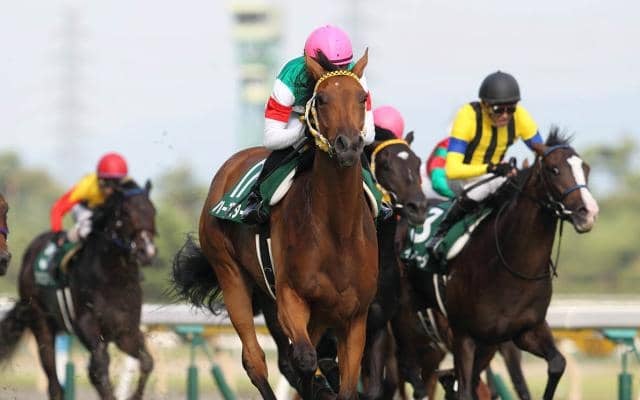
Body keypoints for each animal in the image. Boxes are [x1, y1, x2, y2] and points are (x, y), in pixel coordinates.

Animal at [0, 179, 157, 400]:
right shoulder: (86, 324)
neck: (114, 279)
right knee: (54, 381)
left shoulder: (125, 331)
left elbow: (146, 361)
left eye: (153, 211)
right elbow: (99, 369)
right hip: (41, 321)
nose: (147, 251)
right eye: (126, 213)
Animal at [171, 51, 378, 400]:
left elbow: (343, 383)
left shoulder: (354, 316)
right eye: (322, 99)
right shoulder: (291, 298)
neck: (338, 231)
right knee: (255, 361)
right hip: (232, 275)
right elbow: (304, 360)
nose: (348, 145)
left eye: (362, 98)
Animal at [410, 129, 599, 399]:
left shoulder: (523, 332)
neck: (511, 268)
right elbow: (465, 389)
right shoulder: (463, 334)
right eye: (553, 169)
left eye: (586, 168)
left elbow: (554, 365)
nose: (588, 212)